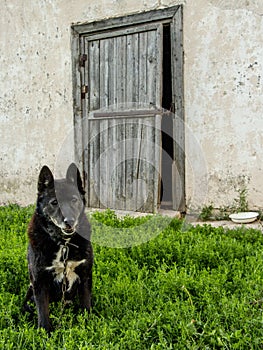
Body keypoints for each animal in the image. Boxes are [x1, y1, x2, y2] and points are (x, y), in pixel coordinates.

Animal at [23, 163, 93, 332]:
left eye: (74, 200)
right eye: (54, 202)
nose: (69, 221)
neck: (64, 243)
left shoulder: (85, 275)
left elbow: (86, 305)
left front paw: (87, 327)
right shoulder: (39, 281)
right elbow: (43, 312)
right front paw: (45, 332)